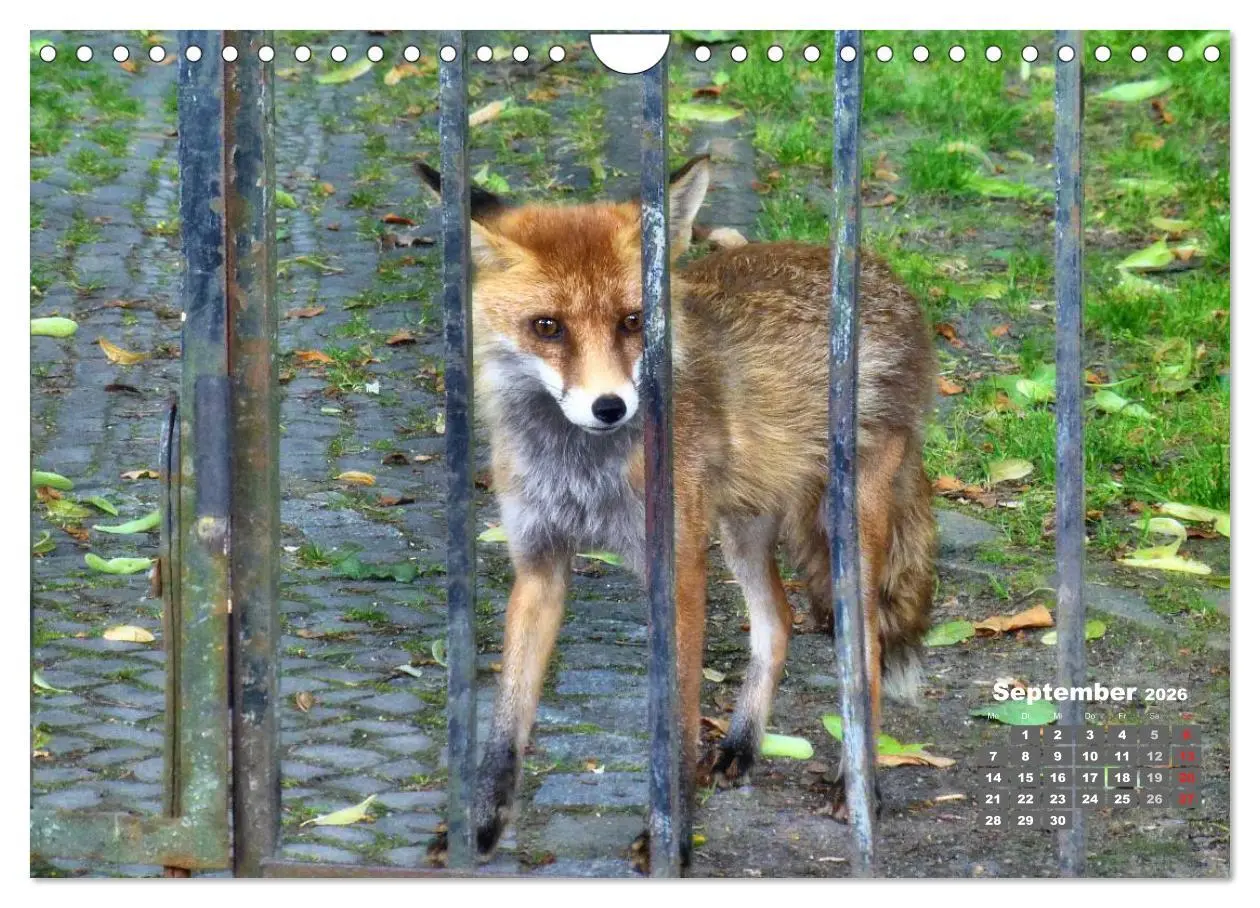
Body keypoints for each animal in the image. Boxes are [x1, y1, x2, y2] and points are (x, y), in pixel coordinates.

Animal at [417, 155, 937, 870]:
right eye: (547, 327)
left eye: (634, 321)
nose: (610, 407)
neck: (584, 469)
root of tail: (886, 273)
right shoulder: (539, 561)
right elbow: (505, 726)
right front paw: (482, 828)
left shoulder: (679, 567)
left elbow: (678, 719)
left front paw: (671, 839)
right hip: (741, 528)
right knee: (777, 622)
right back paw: (742, 744)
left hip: (845, 536)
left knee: (867, 655)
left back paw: (855, 787)